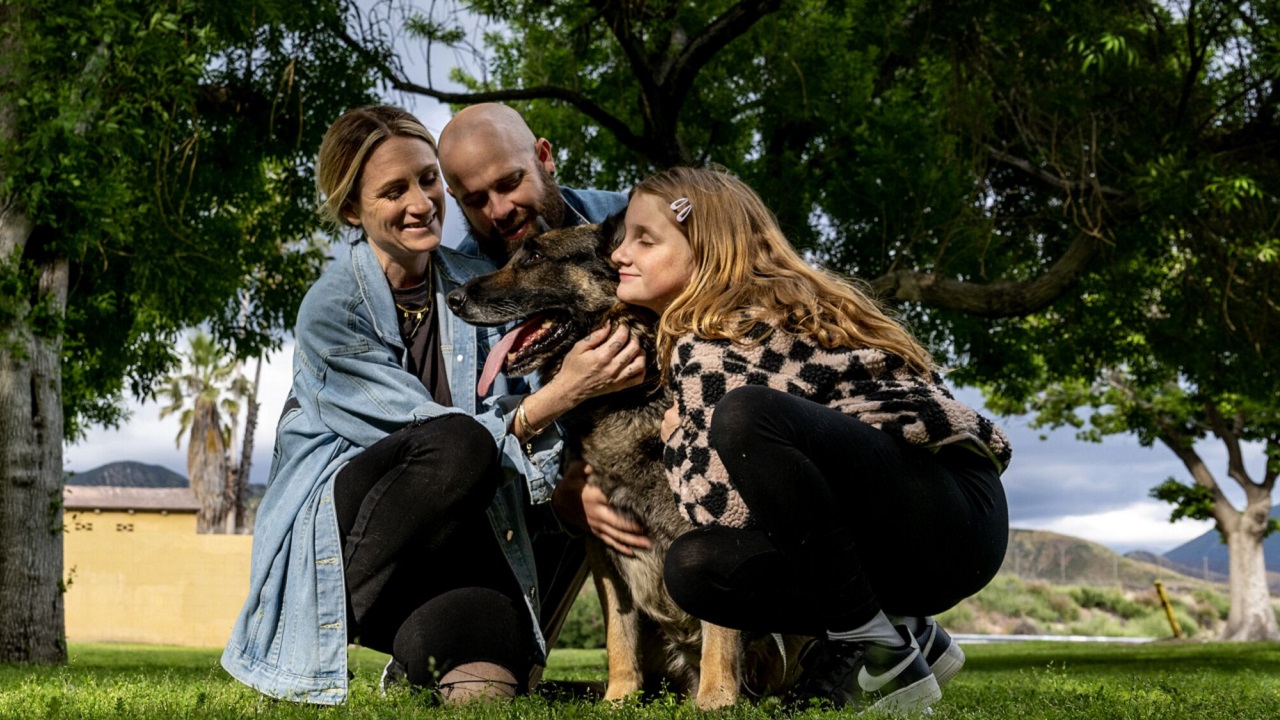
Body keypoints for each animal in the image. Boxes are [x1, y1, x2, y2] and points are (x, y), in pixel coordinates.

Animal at [442, 213, 798, 707]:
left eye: (534, 257)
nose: (453, 299)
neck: (633, 394)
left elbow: (720, 630)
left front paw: (716, 699)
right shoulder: (603, 548)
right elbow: (618, 631)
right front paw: (619, 696)